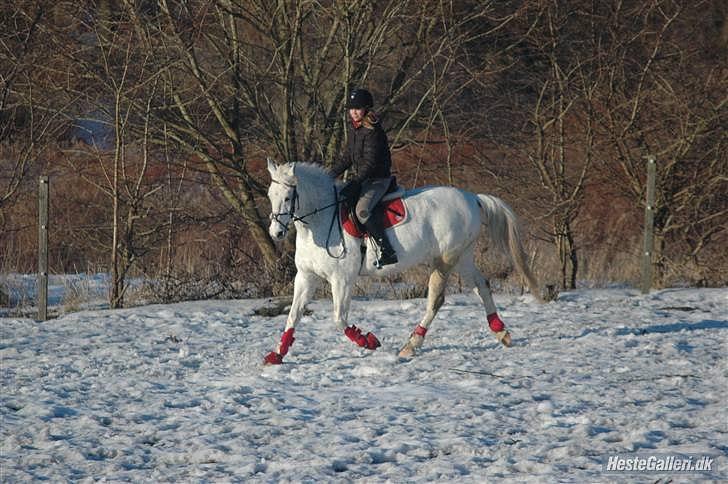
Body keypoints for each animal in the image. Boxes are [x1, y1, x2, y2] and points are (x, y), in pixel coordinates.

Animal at [264, 161, 540, 364]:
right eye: (270, 195)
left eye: (288, 197)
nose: (276, 233)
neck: (320, 220)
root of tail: (472, 198)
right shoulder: (306, 276)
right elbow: (293, 315)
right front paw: (276, 355)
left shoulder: (341, 280)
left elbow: (339, 319)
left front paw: (369, 341)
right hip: (463, 257)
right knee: (482, 286)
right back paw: (501, 332)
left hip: (445, 259)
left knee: (436, 300)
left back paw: (411, 344)